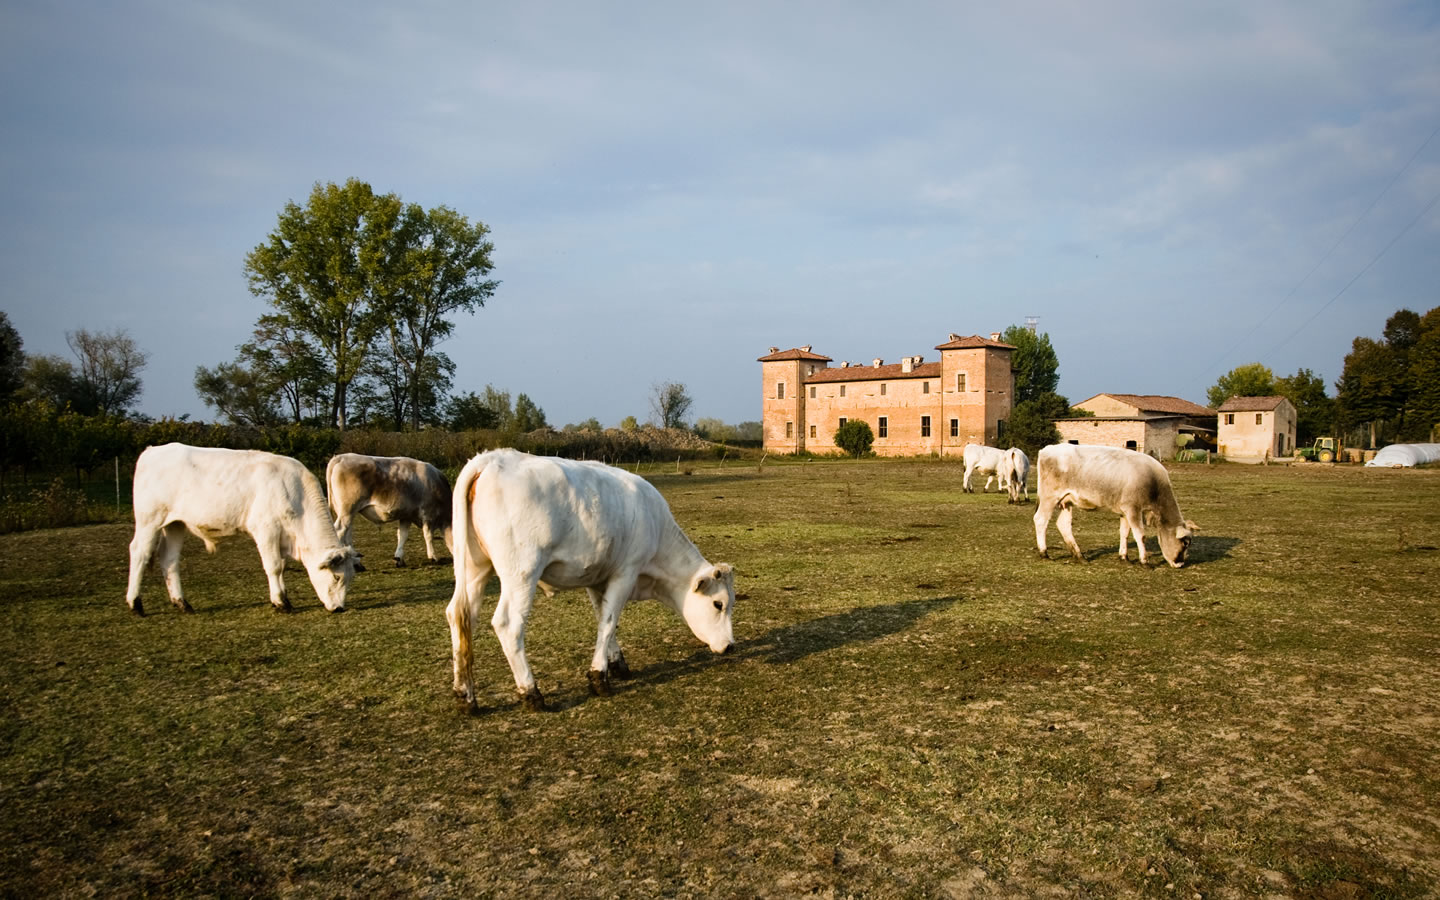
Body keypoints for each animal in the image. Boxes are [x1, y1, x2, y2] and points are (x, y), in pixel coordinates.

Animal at [128, 440, 355, 610]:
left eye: (350, 578)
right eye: (336, 577)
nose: (339, 608)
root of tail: (152, 451)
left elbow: (281, 566)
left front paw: (283, 597)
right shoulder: (266, 531)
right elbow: (273, 566)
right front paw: (281, 602)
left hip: (175, 524)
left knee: (169, 559)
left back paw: (182, 603)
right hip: (149, 521)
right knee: (139, 552)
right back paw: (135, 603)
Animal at [443, 446, 737, 708]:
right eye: (718, 604)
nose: (730, 647)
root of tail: (493, 458)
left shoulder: (597, 579)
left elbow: (604, 618)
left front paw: (617, 663)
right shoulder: (625, 573)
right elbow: (608, 622)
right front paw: (599, 677)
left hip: (475, 568)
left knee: (459, 615)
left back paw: (464, 695)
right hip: (521, 573)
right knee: (508, 625)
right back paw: (531, 692)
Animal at [1031, 443, 1198, 567]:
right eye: (1185, 543)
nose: (1180, 564)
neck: (1153, 482)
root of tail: (1047, 449)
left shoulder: (1125, 511)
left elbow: (1124, 533)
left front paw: (1124, 557)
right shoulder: (1133, 509)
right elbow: (1140, 535)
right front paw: (1144, 561)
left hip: (1067, 501)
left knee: (1063, 525)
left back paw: (1079, 556)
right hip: (1049, 497)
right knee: (1040, 520)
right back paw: (1044, 553)